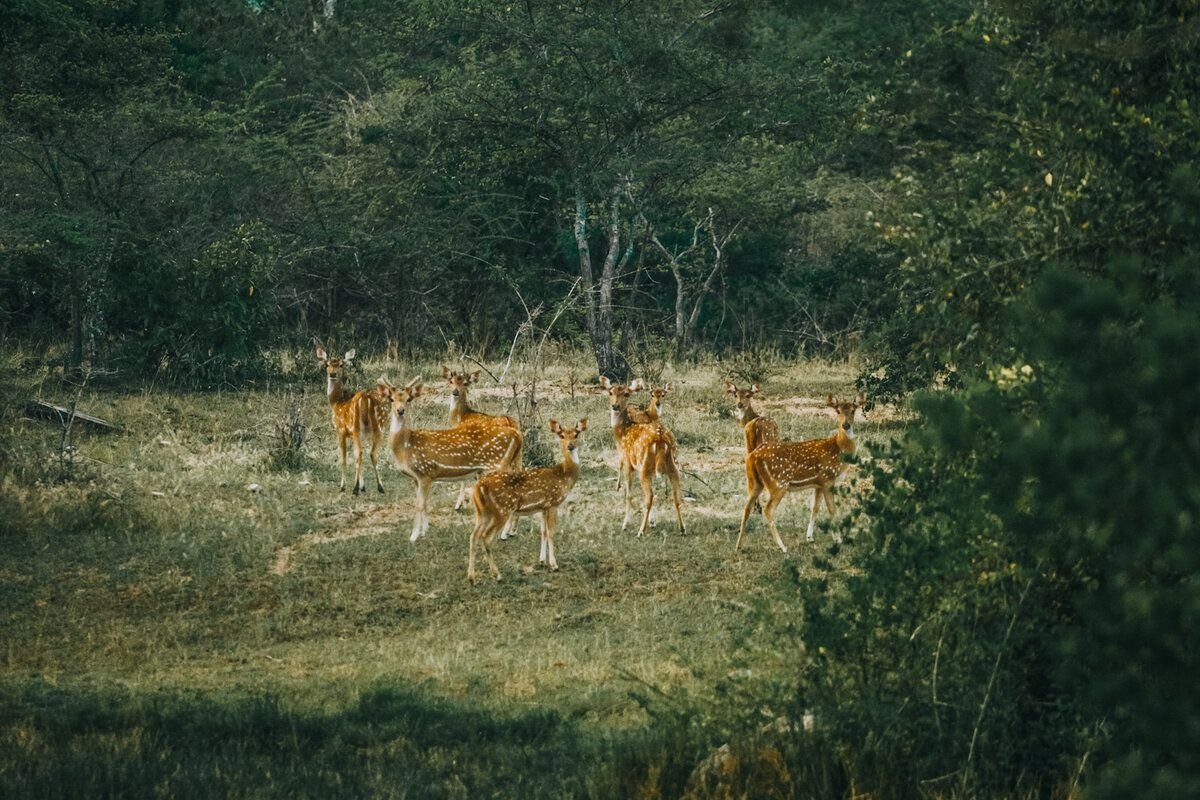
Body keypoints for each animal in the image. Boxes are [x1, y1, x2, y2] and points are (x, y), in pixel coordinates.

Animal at [314, 345, 384, 494]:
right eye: (327, 364)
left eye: (341, 365)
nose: (332, 374)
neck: (336, 401)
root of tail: (365, 399)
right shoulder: (354, 434)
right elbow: (357, 455)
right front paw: (363, 485)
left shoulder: (340, 430)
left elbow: (344, 458)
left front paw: (343, 486)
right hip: (379, 426)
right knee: (371, 453)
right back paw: (380, 487)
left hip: (356, 426)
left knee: (361, 453)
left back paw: (354, 489)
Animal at [376, 376, 523, 542]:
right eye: (391, 398)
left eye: (409, 399)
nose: (400, 411)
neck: (405, 446)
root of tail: (517, 435)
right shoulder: (418, 477)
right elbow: (424, 503)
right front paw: (425, 530)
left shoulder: (425, 472)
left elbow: (419, 504)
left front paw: (413, 536)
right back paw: (511, 531)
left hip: (498, 464)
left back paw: (504, 534)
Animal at [465, 419, 588, 582]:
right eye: (561, 435)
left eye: (576, 434)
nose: (570, 446)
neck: (564, 476)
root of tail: (480, 487)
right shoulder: (553, 503)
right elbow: (551, 533)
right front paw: (554, 565)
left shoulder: (543, 507)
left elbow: (543, 531)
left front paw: (542, 561)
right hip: (502, 510)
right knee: (486, 538)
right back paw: (497, 575)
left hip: (482, 512)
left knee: (473, 536)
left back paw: (472, 577)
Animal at [597, 376, 686, 537]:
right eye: (610, 392)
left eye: (626, 394)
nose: (615, 406)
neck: (623, 431)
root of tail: (661, 441)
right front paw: (653, 522)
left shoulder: (628, 462)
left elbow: (628, 494)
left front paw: (625, 524)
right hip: (673, 466)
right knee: (676, 495)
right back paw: (682, 528)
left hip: (644, 467)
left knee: (649, 496)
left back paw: (640, 531)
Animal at [729, 393, 864, 554]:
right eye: (838, 411)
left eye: (853, 411)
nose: (846, 425)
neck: (838, 450)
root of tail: (752, 457)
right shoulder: (828, 479)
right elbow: (832, 509)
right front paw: (838, 539)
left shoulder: (818, 483)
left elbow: (815, 508)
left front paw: (810, 537)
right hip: (778, 483)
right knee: (768, 510)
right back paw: (782, 547)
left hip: (755, 482)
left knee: (746, 508)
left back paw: (738, 545)